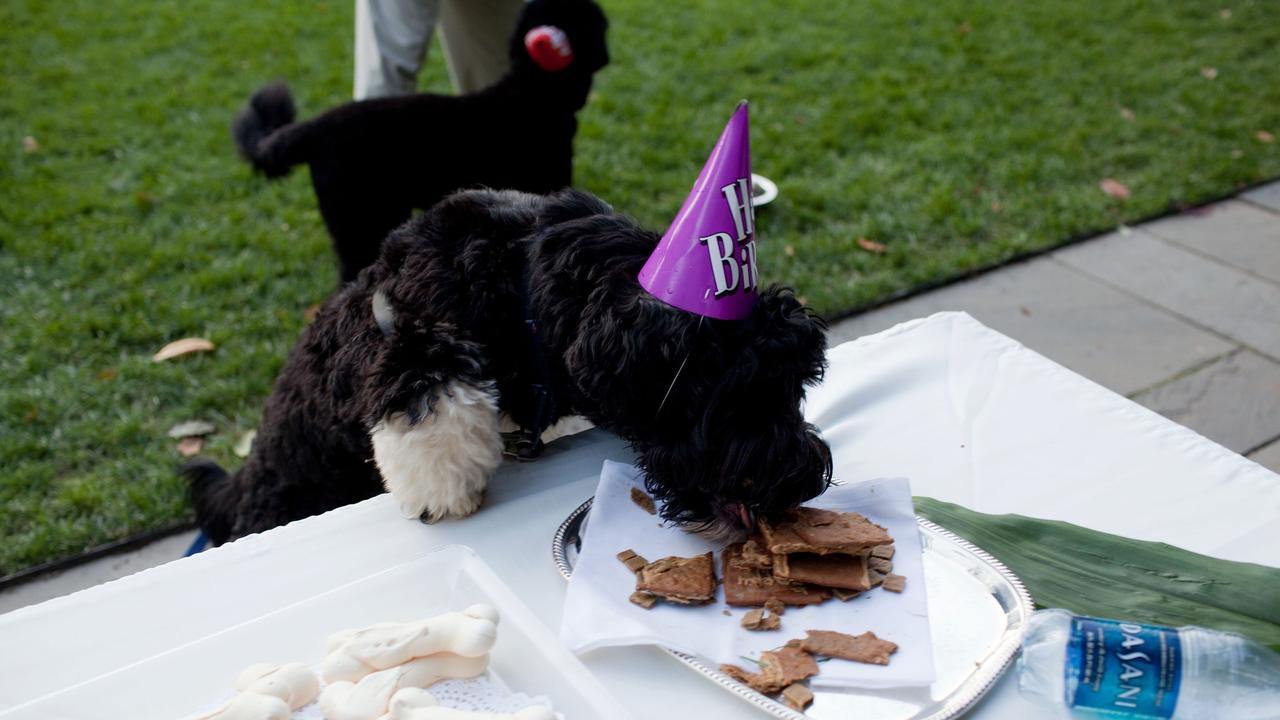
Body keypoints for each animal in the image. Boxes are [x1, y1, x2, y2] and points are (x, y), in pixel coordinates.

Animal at [185, 188, 834, 540]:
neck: (526, 283)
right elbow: (428, 382)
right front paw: (442, 486)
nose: (802, 478)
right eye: (739, 393)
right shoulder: (390, 331)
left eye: (797, 384)